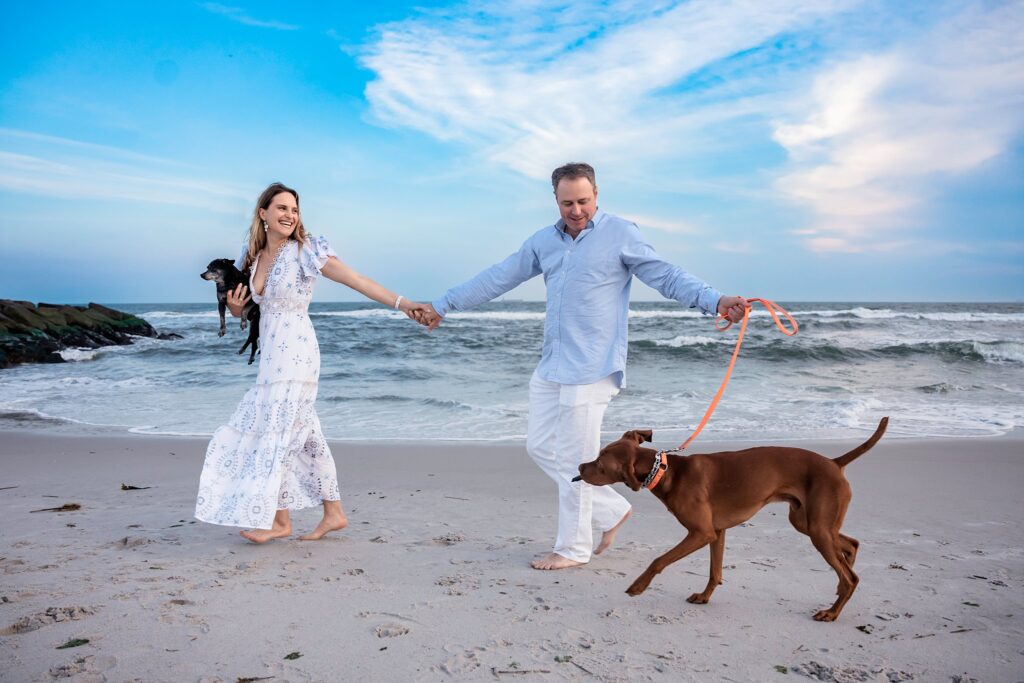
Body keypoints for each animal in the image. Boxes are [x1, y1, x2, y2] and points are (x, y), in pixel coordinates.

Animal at [577, 417, 888, 618]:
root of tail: (835, 463)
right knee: (850, 546)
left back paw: (832, 612)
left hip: (818, 529)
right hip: (809, 523)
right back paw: (839, 585)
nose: (579, 466)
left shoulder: (701, 533)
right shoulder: (717, 532)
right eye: (598, 454)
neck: (666, 471)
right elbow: (715, 571)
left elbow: (658, 560)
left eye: (601, 464)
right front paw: (704, 597)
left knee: (851, 576)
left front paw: (638, 586)